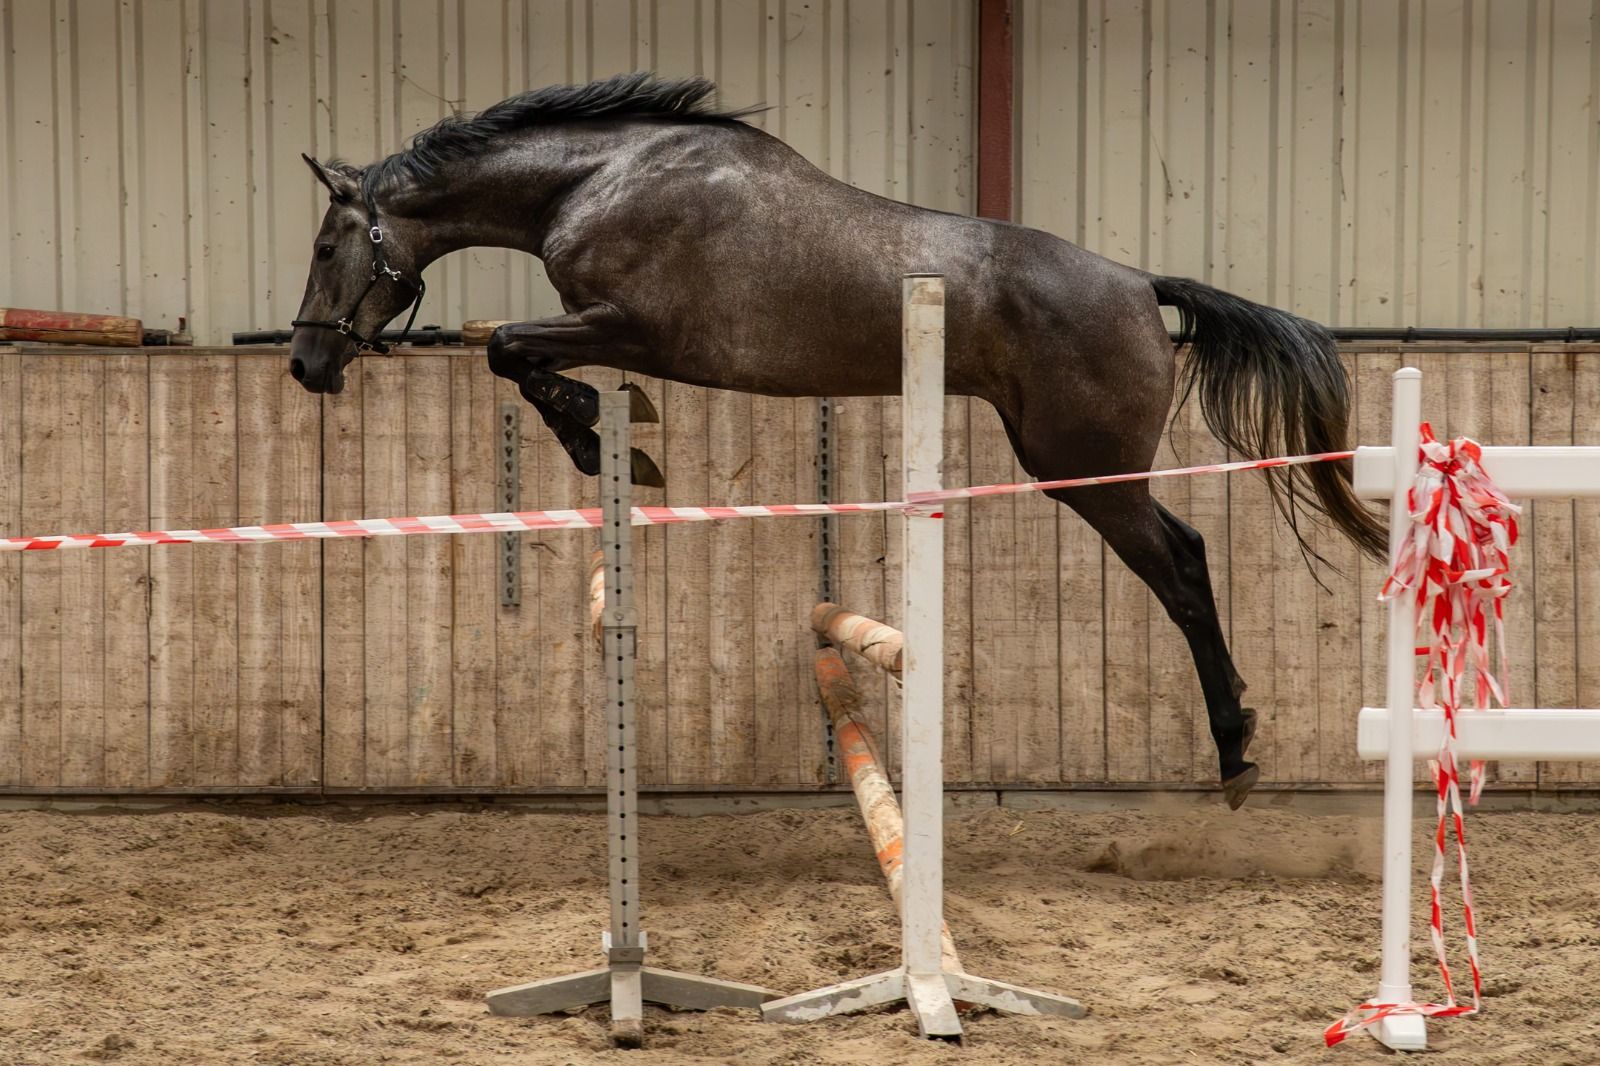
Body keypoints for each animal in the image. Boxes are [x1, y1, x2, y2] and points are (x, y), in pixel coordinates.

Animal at [289, 72, 1387, 810]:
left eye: (327, 244)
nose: (306, 363)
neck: (599, 179)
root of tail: (1138, 284)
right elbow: (512, 355)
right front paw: (608, 433)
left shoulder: (631, 327)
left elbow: (510, 350)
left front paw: (601, 434)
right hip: (1083, 471)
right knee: (1185, 560)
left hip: (1085, 472)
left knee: (1185, 568)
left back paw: (1235, 749)